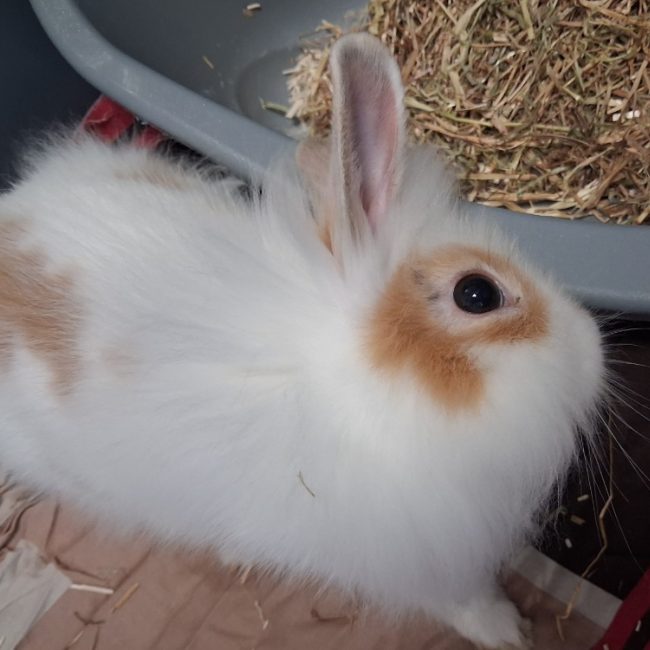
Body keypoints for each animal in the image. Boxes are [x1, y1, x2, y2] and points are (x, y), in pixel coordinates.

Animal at [0, 33, 604, 648]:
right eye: (477, 293)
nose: (596, 349)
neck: (370, 385)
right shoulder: (410, 557)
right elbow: (459, 598)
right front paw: (508, 629)